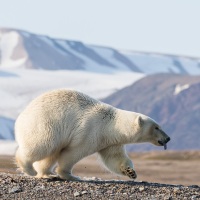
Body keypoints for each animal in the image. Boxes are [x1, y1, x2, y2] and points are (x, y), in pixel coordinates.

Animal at [14, 89, 170, 180]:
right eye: (157, 127)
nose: (168, 138)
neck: (110, 125)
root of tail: (20, 118)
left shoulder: (111, 141)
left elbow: (114, 158)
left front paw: (130, 172)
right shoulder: (89, 131)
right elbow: (72, 152)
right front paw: (69, 175)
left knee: (51, 152)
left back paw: (46, 173)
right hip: (45, 124)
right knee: (42, 145)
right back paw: (29, 169)